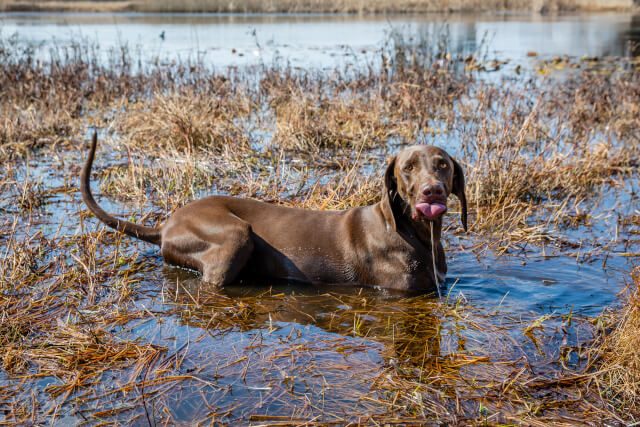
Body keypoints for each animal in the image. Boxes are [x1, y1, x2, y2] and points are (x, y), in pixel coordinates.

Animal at [82, 135, 468, 294]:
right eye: (408, 167)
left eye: (442, 165)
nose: (432, 191)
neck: (415, 234)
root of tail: (166, 225)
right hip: (235, 235)